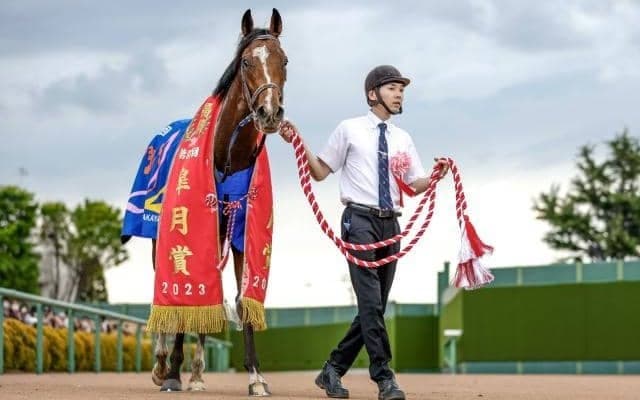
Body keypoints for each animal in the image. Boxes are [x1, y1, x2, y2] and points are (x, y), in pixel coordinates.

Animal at [149, 9, 287, 396]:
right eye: (246, 62)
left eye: (284, 60)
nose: (270, 113)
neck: (226, 157)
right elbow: (183, 295)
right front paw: (172, 373)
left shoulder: (241, 230)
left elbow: (238, 299)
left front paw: (256, 378)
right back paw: (163, 363)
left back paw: (196, 374)